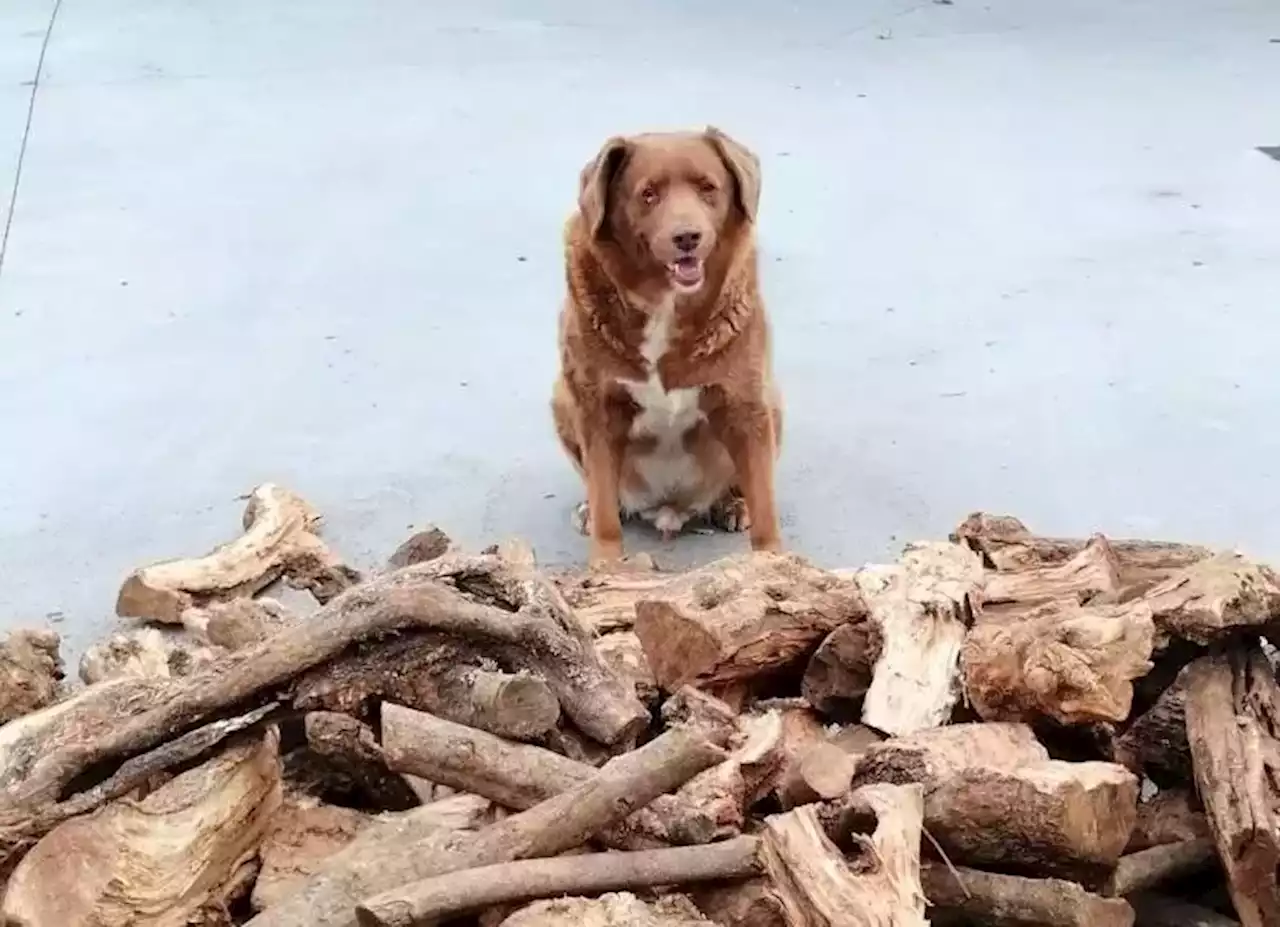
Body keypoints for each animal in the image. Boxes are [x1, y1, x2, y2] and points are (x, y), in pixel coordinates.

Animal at [550, 124, 778, 565]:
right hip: (561, 398)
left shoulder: (746, 403)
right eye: (649, 194)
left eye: (708, 188)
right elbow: (604, 504)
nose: (687, 236)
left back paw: (732, 504)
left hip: (772, 402)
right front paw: (606, 565)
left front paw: (775, 563)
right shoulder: (596, 407)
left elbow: (765, 507)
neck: (664, 304)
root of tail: (669, 508)